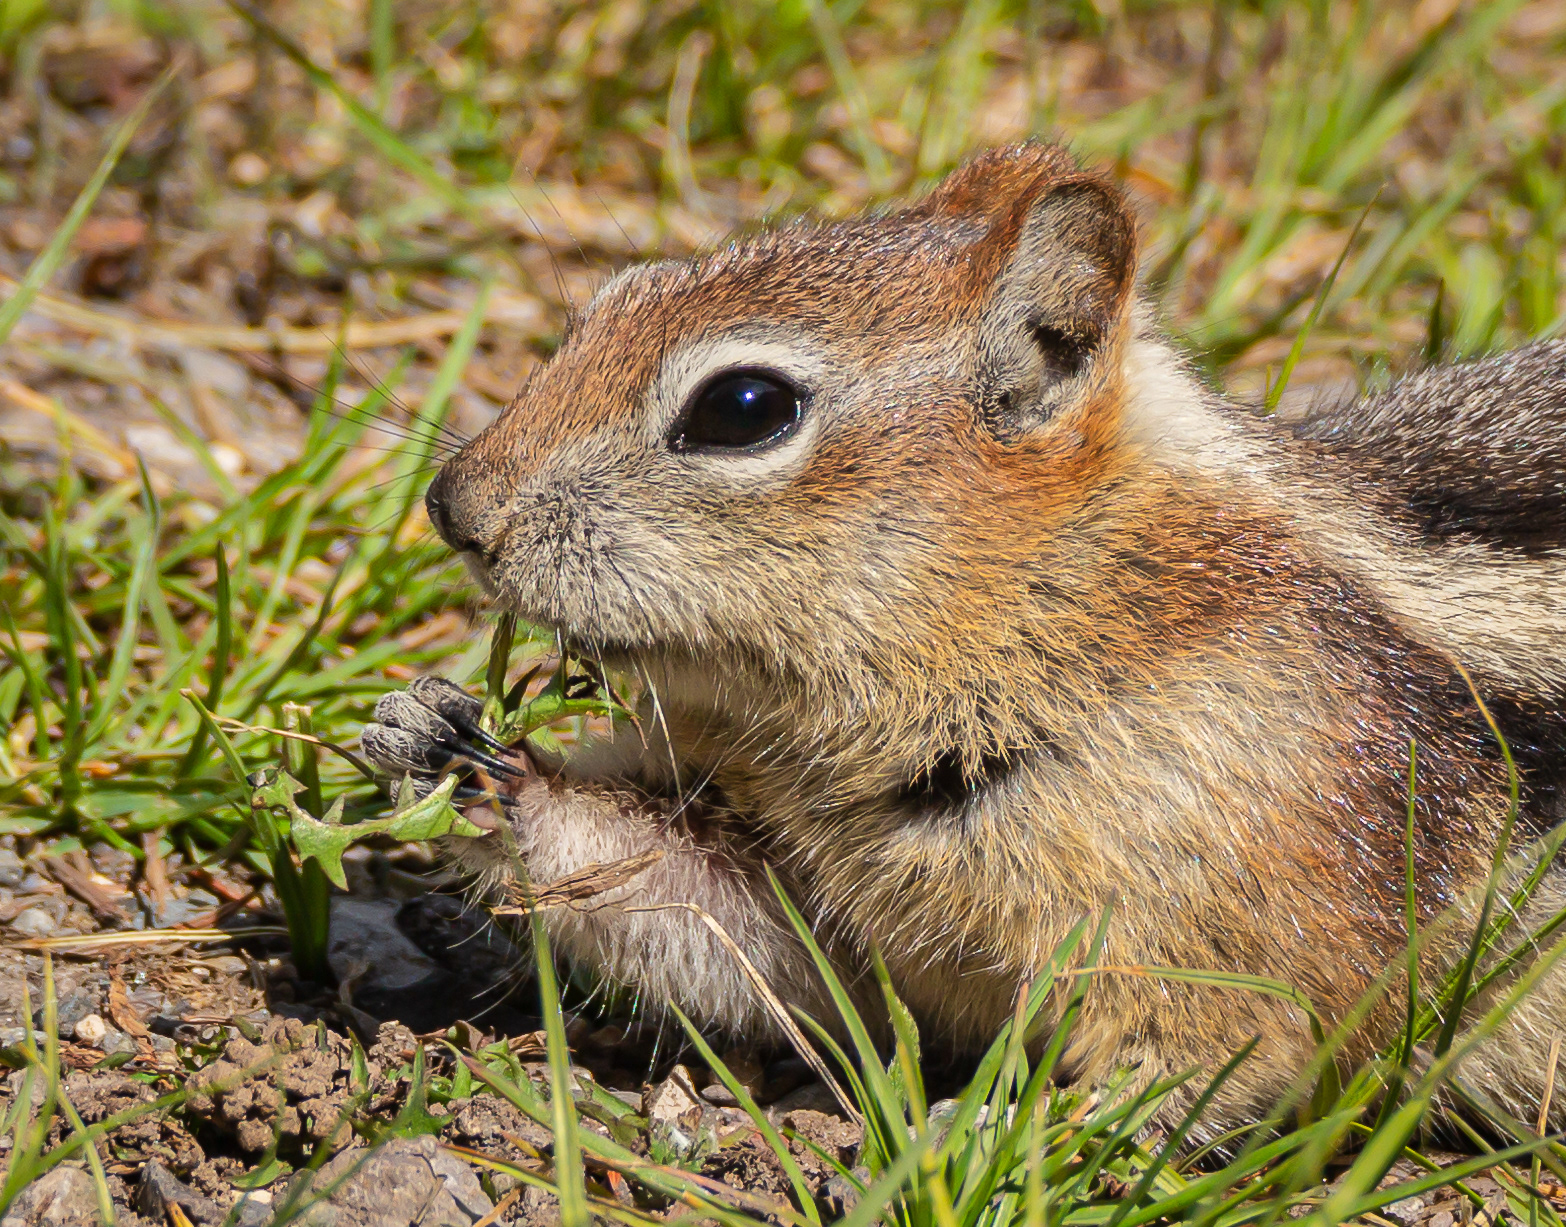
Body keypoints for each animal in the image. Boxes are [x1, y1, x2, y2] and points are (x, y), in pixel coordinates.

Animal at [361, 141, 1566, 1130]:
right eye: (614, 295)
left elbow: (1219, 1055)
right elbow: (728, 929)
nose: (455, 507)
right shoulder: (824, 890)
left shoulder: (1248, 885)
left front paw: (999, 1134)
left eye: (744, 407)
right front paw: (443, 743)